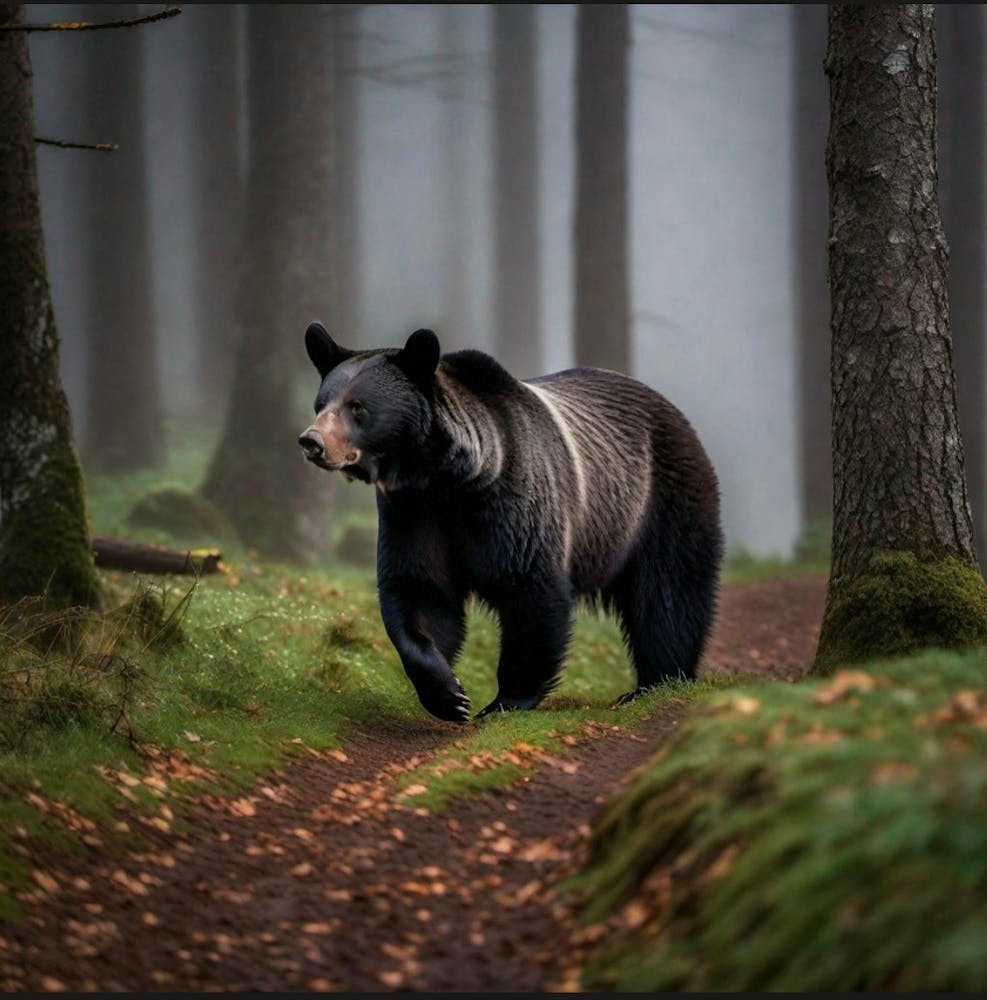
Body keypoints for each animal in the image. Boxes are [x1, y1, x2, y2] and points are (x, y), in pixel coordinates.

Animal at [299, 322, 723, 723]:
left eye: (357, 407)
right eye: (321, 403)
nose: (312, 441)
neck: (448, 481)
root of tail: (665, 404)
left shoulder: (513, 503)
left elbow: (529, 592)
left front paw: (505, 700)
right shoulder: (414, 515)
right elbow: (419, 591)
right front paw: (449, 695)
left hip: (662, 499)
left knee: (668, 593)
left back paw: (656, 681)